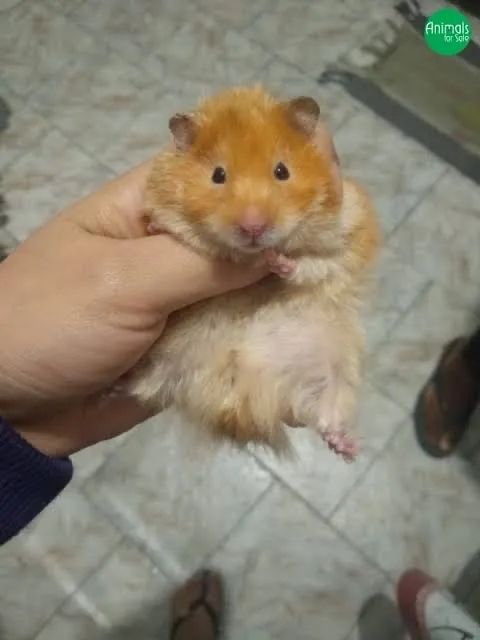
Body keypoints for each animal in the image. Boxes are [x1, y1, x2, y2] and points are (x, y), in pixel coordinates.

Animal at [128, 86, 380, 460]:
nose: (253, 228)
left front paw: (278, 262)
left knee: (326, 415)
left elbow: (312, 264)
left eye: (282, 170)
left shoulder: (347, 228)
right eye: (218, 175)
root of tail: (239, 396)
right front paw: (156, 226)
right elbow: (175, 227)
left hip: (337, 367)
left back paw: (345, 447)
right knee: (147, 382)